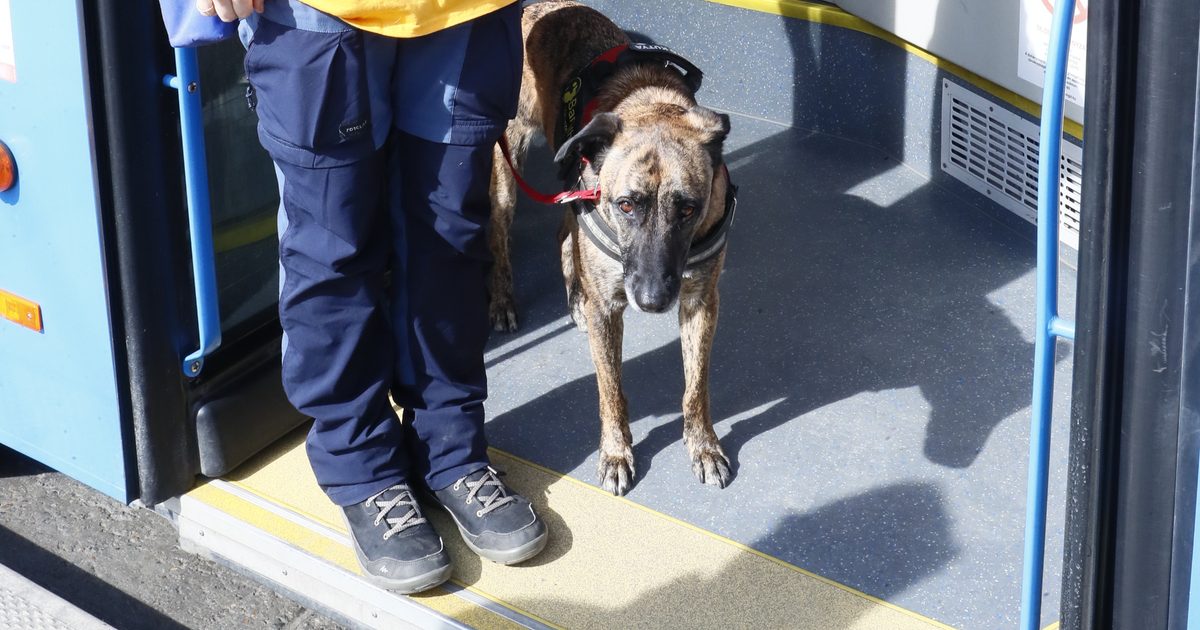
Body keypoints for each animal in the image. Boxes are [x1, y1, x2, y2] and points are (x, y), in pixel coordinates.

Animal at [487, 0, 729, 496]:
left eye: (689, 208)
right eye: (626, 205)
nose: (653, 301)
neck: (650, 103)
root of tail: (530, 9)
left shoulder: (701, 302)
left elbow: (696, 386)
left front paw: (703, 446)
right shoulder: (609, 310)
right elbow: (610, 390)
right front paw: (617, 454)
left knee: (564, 234)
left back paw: (575, 295)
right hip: (507, 164)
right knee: (501, 233)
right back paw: (503, 300)